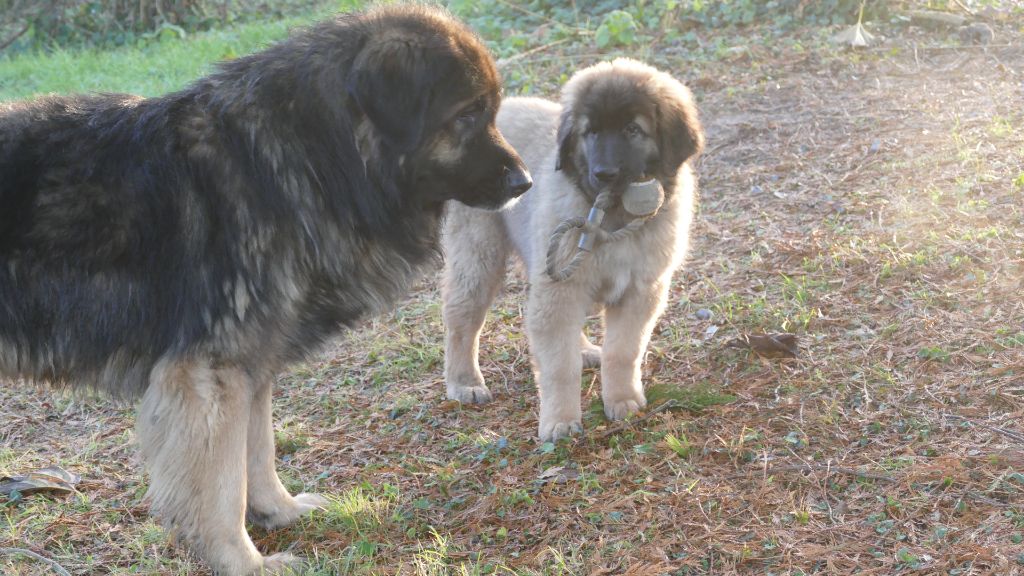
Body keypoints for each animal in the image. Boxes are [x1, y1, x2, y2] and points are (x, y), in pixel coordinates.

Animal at [0, 5, 530, 574]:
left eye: (491, 111)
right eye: (467, 116)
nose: (524, 182)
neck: (308, 155)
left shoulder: (250, 368)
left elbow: (258, 452)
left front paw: (279, 511)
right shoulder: (210, 376)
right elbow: (221, 487)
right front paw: (243, 562)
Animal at [442, 59, 702, 441]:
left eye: (632, 130)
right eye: (590, 132)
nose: (604, 173)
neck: (613, 218)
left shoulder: (640, 290)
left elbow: (623, 351)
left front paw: (622, 399)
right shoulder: (561, 288)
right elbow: (558, 366)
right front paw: (560, 421)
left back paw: (584, 350)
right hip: (480, 255)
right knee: (462, 316)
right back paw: (464, 382)